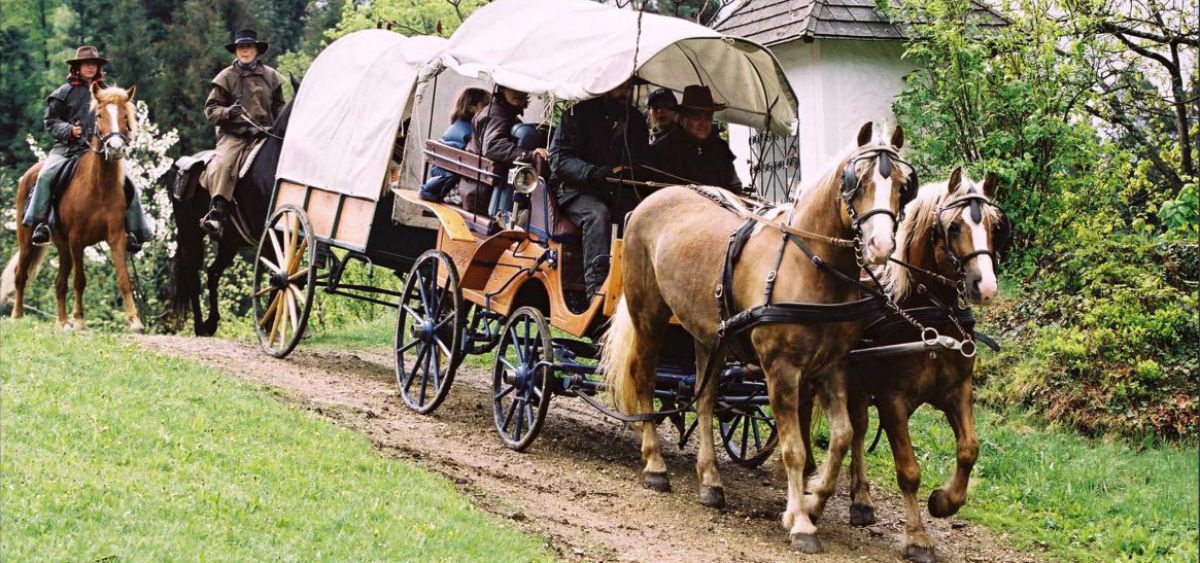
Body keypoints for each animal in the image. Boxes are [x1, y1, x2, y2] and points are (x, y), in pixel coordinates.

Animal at [3, 82, 142, 328]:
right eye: (99, 115)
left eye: (125, 116)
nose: (115, 147)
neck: (99, 186)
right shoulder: (77, 240)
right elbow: (79, 280)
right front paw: (79, 320)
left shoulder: (116, 237)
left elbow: (124, 278)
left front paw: (134, 320)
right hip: (28, 239)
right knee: (21, 274)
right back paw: (18, 315)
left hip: (62, 245)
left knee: (59, 282)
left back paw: (62, 322)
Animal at [164, 83, 297, 333]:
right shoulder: (269, 238)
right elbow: (276, 278)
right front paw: (269, 325)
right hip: (191, 236)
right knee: (194, 277)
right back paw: (200, 326)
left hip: (229, 243)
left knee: (212, 273)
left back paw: (212, 321)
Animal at [604, 124, 912, 552]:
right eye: (858, 181)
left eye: (902, 184)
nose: (881, 247)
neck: (809, 263)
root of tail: (650, 198)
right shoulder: (781, 369)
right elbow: (794, 449)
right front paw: (801, 521)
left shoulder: (832, 366)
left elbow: (842, 436)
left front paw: (814, 500)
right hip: (649, 314)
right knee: (644, 380)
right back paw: (654, 464)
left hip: (708, 335)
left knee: (704, 401)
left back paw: (711, 482)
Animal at [806, 168, 1003, 561]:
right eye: (954, 227)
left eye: (992, 224)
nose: (985, 286)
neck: (929, 314)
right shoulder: (893, 399)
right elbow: (908, 469)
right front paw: (917, 538)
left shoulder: (957, 391)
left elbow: (969, 449)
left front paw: (944, 501)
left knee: (859, 428)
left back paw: (862, 500)